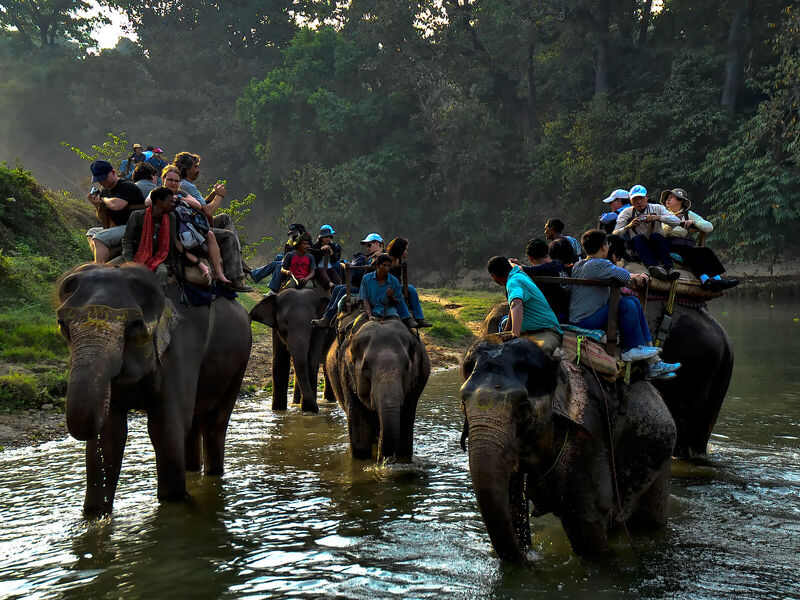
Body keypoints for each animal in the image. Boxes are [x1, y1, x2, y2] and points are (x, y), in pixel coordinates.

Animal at [57, 264, 250, 516]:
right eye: (62, 325)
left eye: (135, 325)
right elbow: (110, 435)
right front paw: (94, 513)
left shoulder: (182, 349)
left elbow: (165, 428)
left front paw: (173, 501)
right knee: (193, 423)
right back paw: (192, 469)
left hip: (239, 363)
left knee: (215, 423)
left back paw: (213, 474)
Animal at [324, 314, 432, 460]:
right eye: (366, 368)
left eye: (406, 367)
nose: (382, 457)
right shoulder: (346, 375)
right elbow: (360, 437)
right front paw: (362, 457)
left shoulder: (415, 386)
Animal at [462, 338, 676, 564]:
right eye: (463, 402)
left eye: (523, 407)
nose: (529, 556)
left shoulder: (590, 437)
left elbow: (588, 524)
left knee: (651, 519)